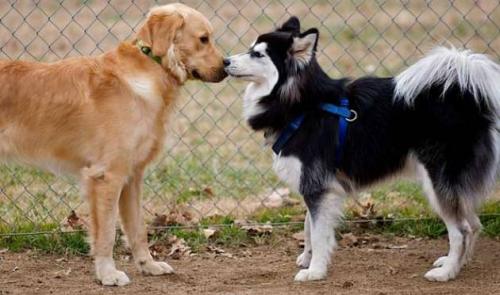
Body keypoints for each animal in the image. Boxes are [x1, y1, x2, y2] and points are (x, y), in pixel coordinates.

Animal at [226, 17, 500, 284]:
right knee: (474, 224)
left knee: (462, 230)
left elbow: (317, 232)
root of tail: (466, 97)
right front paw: (308, 259)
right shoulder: (317, 185)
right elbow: (308, 227)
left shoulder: (317, 185)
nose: (226, 61)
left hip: (438, 181)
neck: (304, 105)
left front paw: (315, 271)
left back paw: (447, 273)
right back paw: (458, 264)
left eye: (258, 54)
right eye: (250, 48)